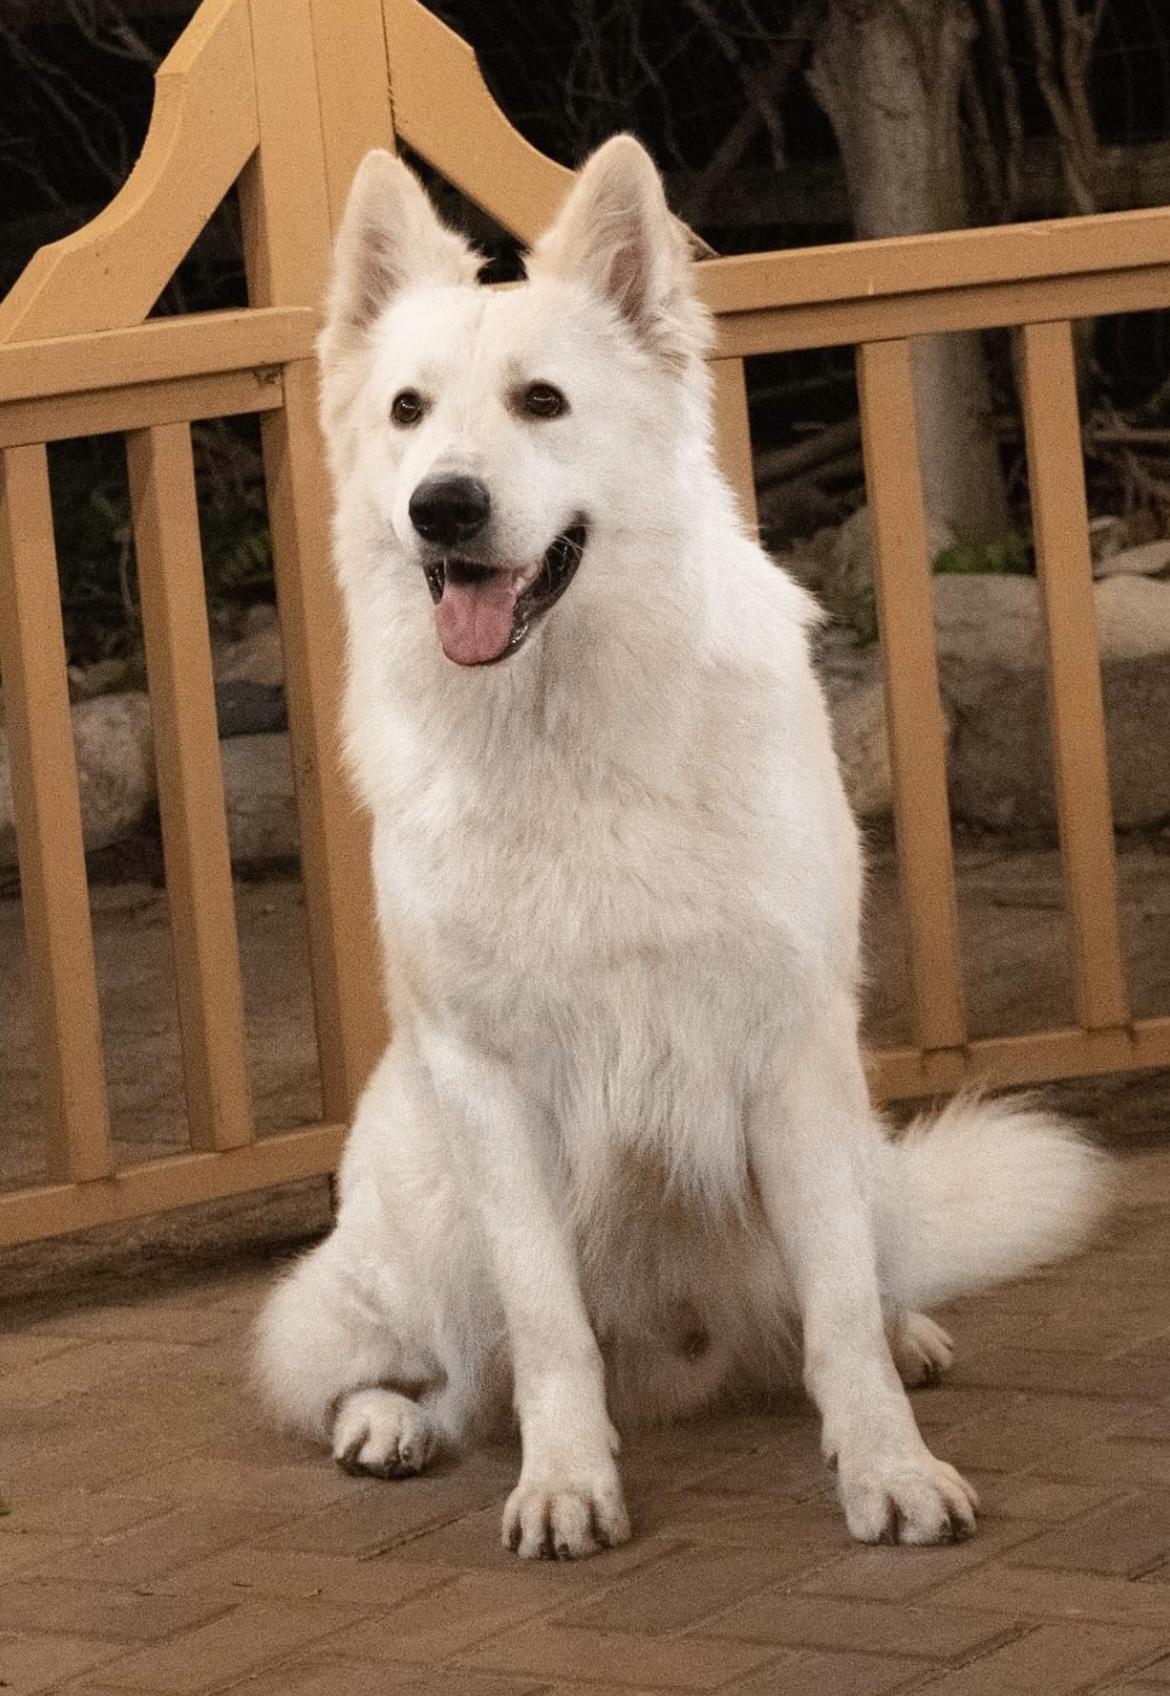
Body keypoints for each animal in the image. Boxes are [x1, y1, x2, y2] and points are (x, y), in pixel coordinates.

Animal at [255, 135, 1106, 1558]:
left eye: (542, 401)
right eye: (409, 411)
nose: (443, 507)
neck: (570, 735)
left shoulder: (791, 1051)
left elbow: (835, 1310)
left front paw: (888, 1465)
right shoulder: (492, 1087)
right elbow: (548, 1327)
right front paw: (565, 1481)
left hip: (861, 1149)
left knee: (855, 1287)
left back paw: (907, 1333)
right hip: (423, 1214)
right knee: (385, 1358)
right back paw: (391, 1422)